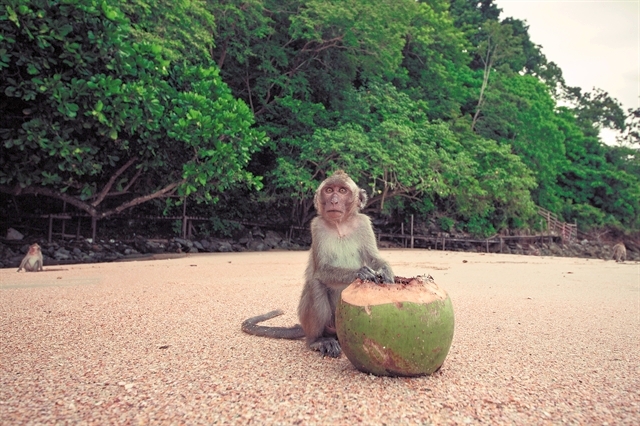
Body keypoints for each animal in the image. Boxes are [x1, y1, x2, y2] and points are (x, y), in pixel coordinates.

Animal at [242, 170, 396, 356]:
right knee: (315, 284)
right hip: (319, 321)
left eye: (342, 191)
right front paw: (360, 272)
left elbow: (374, 257)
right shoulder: (317, 226)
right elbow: (321, 271)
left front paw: (386, 271)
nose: (334, 201)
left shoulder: (363, 224)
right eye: (329, 190)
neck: (340, 225)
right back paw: (318, 340)